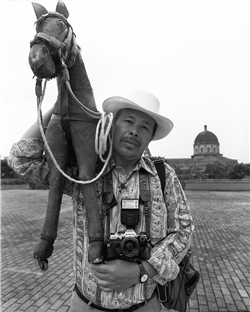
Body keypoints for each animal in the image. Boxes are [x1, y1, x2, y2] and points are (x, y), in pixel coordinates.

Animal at [29, 0, 105, 268]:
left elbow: (87, 180)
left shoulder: (87, 153)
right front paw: (44, 246)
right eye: (38, 25)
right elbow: (55, 184)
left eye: (62, 24)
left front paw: (96, 246)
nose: (36, 57)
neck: (69, 108)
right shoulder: (56, 155)